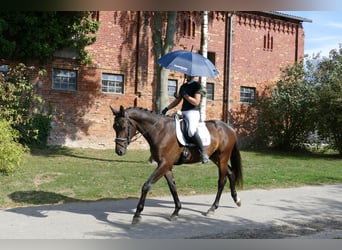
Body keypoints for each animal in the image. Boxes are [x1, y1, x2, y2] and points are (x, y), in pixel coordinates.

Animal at [110, 105, 243, 225]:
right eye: (114, 127)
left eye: (123, 126)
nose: (119, 151)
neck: (160, 131)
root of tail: (229, 128)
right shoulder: (166, 166)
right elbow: (172, 187)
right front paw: (176, 211)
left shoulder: (164, 164)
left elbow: (146, 185)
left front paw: (137, 214)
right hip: (216, 158)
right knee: (230, 173)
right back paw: (237, 200)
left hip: (222, 158)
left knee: (222, 181)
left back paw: (212, 208)